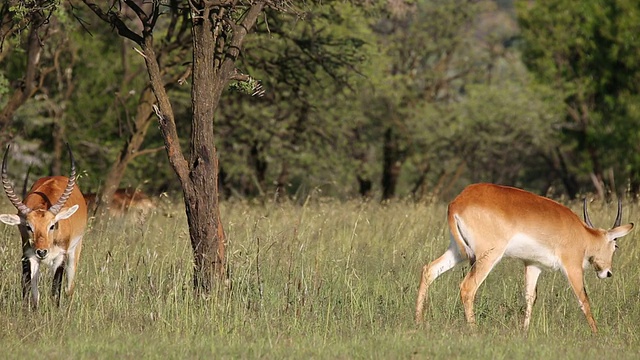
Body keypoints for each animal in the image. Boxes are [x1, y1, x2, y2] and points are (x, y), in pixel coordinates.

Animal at [0, 145, 87, 308]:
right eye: (28, 226)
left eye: (52, 226)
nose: (42, 251)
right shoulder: (28, 256)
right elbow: (32, 293)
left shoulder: (61, 256)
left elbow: (55, 291)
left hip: (74, 251)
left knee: (69, 288)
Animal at [416, 184, 636, 334]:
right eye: (615, 245)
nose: (607, 272)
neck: (582, 234)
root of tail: (457, 202)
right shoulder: (572, 266)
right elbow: (583, 299)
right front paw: (596, 334)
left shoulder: (533, 265)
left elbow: (530, 297)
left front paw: (524, 332)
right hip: (487, 256)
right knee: (468, 287)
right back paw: (474, 331)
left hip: (458, 251)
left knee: (429, 270)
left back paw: (419, 321)